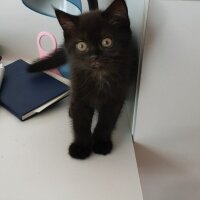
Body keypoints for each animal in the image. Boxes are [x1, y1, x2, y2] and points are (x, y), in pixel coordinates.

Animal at [28, 0, 138, 159]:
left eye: (107, 42)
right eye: (81, 45)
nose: (94, 56)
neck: (99, 76)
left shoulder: (116, 96)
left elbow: (106, 121)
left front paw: (101, 143)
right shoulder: (79, 92)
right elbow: (80, 122)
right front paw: (80, 147)